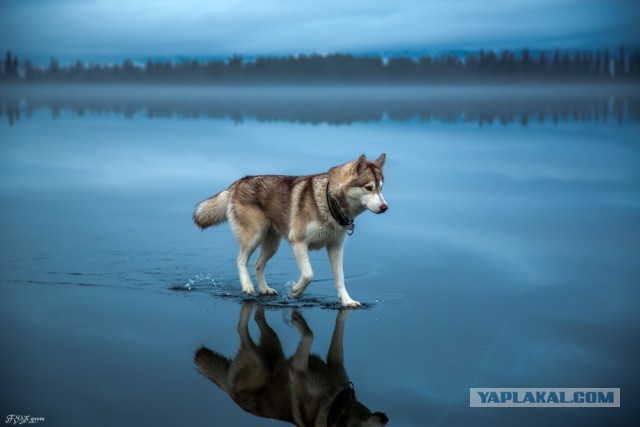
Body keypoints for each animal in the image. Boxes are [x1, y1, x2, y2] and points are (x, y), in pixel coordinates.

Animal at [192, 154, 388, 308]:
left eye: (381, 188)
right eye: (368, 187)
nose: (385, 207)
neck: (329, 202)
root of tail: (240, 181)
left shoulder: (335, 247)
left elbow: (340, 278)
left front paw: (347, 301)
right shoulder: (299, 242)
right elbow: (309, 274)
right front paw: (295, 291)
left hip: (272, 244)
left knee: (257, 265)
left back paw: (264, 289)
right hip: (254, 236)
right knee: (241, 260)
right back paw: (247, 286)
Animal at [192, 302, 388, 426]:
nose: (385, 418)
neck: (336, 405)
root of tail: (231, 393)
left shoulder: (333, 362)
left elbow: (337, 328)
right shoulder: (297, 368)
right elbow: (310, 335)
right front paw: (299, 321)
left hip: (272, 347)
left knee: (258, 319)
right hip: (259, 365)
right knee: (241, 329)